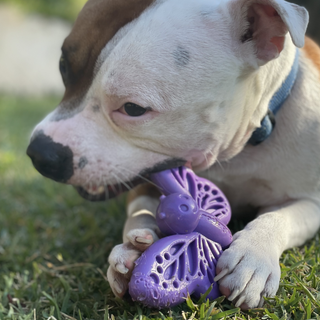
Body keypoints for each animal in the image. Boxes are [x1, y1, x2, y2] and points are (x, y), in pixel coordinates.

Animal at [26, 0, 320, 312]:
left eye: (133, 109)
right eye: (63, 67)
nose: (40, 152)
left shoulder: (311, 201)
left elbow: (281, 217)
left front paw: (253, 257)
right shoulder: (144, 184)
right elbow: (139, 211)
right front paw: (132, 247)